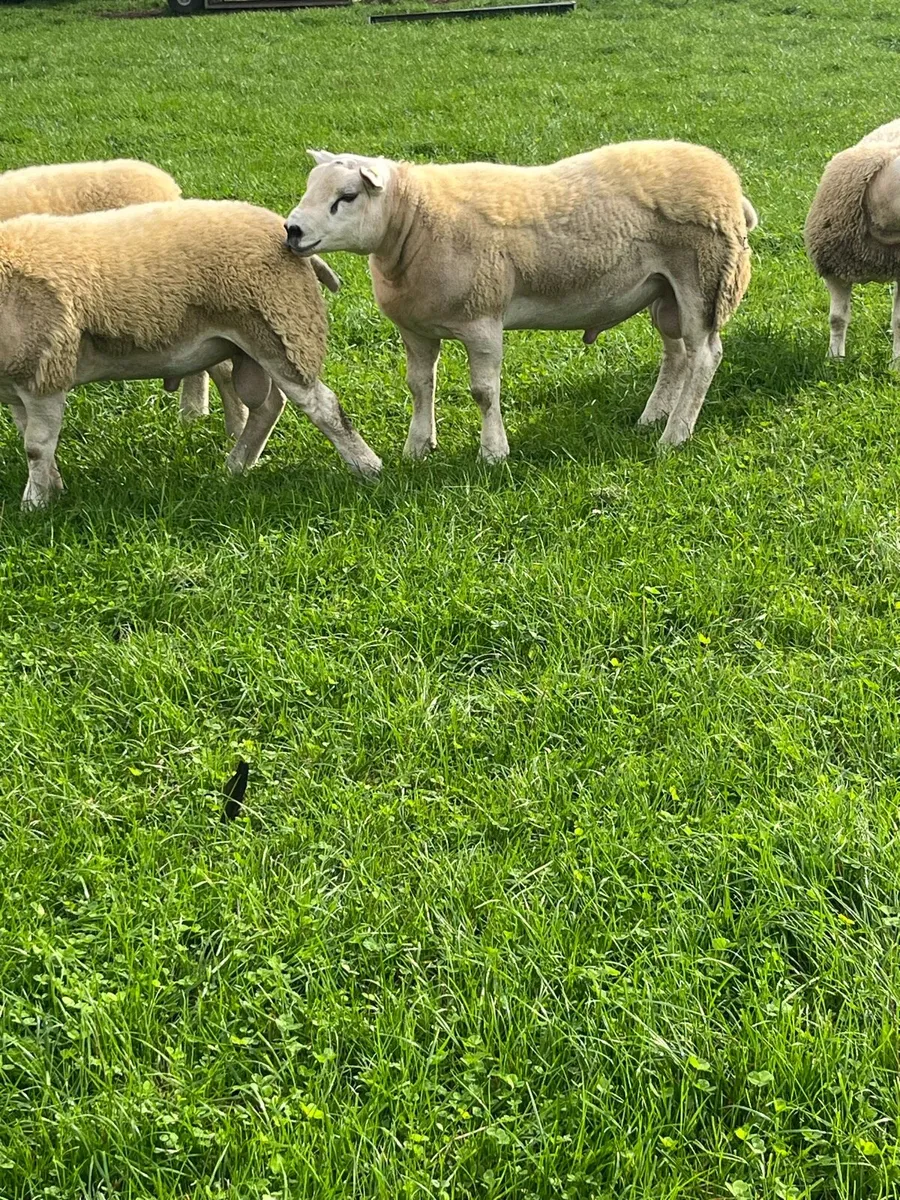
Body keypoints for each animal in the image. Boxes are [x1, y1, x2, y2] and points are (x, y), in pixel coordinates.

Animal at [0, 199, 381, 510]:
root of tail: (287, 236)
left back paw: (367, 467)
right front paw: (51, 489)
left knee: (323, 406)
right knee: (268, 407)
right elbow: (35, 442)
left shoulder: (45, 371)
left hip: (283, 328)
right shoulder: (20, 384)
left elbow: (35, 445)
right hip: (249, 344)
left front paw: (34, 505)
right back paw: (237, 465)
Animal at [286, 142, 756, 457]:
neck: (413, 222)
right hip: (664, 291)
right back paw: (653, 417)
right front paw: (417, 447)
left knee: (704, 356)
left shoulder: (483, 320)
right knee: (676, 355)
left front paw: (493, 452)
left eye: (347, 196)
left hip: (705, 279)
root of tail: (728, 179)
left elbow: (483, 391)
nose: (292, 231)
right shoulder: (415, 328)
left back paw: (674, 435)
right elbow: (420, 386)